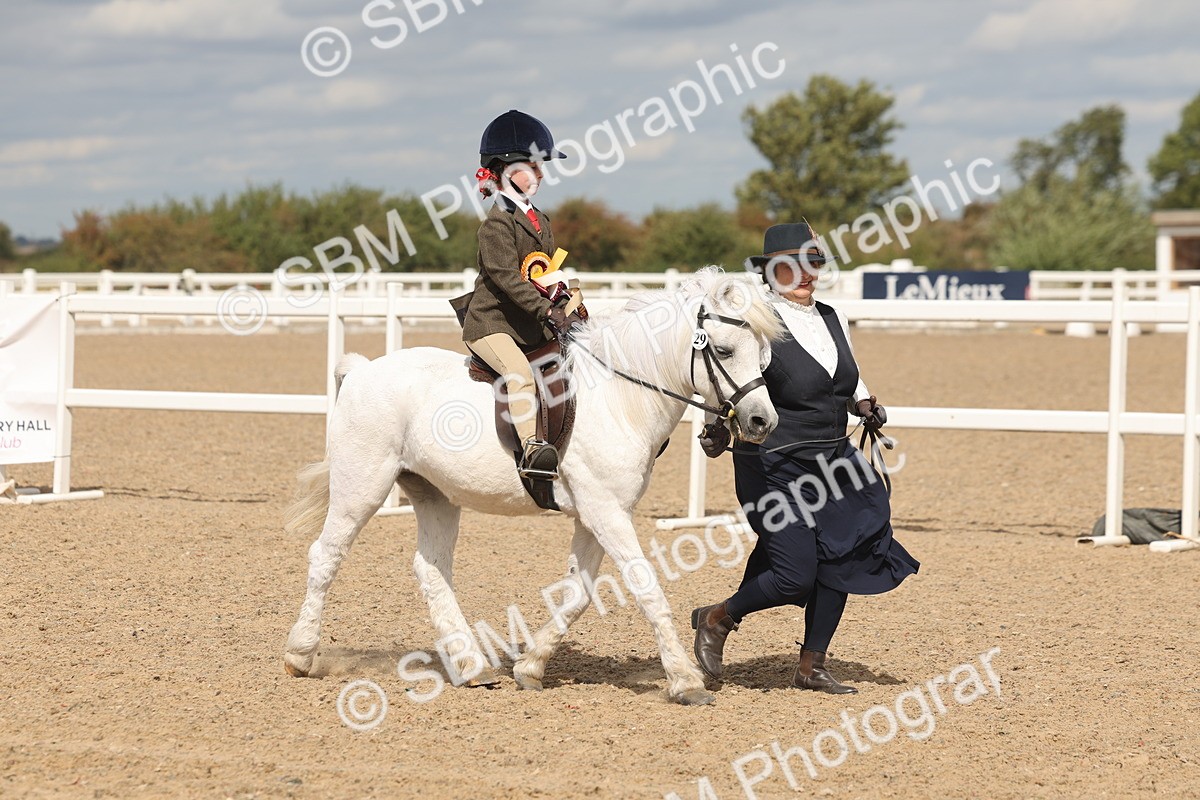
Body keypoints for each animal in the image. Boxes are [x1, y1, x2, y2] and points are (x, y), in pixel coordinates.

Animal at [282, 267, 784, 705]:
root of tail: (361, 371)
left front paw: (530, 667)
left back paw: (472, 666)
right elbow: (646, 589)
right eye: (724, 350)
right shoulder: (606, 511)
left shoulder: (597, 514)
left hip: (435, 495)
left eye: (763, 355)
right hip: (362, 487)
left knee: (431, 569)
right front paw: (685, 681)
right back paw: (300, 654)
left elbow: (578, 594)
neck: (620, 396)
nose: (763, 421)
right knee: (326, 555)